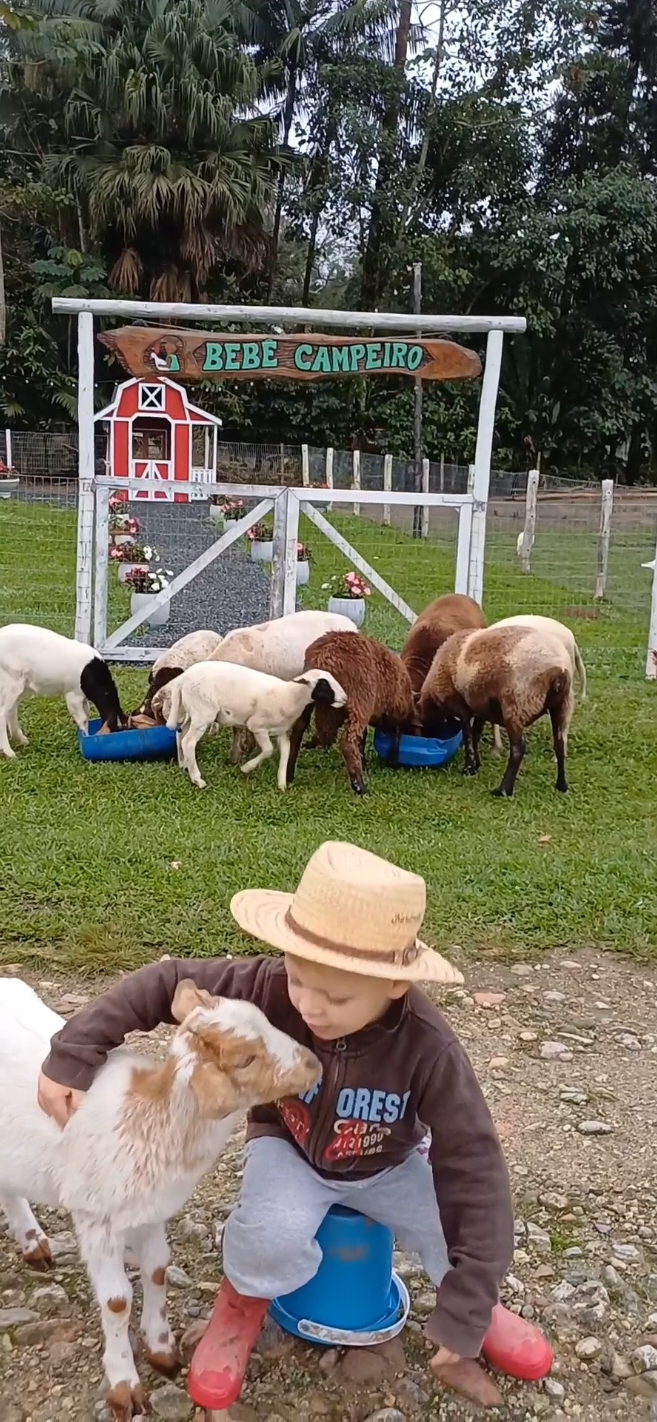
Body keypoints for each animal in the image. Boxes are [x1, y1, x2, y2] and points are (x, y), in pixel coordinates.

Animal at [0, 622, 125, 756]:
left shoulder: (83, 698)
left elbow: (86, 714)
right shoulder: (73, 694)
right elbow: (83, 718)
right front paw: (86, 737)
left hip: (20, 685)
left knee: (11, 710)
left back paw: (21, 740)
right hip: (12, 681)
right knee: (3, 712)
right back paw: (9, 752)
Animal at [0, 978, 318, 1422]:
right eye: (246, 1058)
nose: (313, 1065)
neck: (149, 1119)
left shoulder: (150, 1212)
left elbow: (156, 1271)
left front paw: (162, 1349)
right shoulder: (94, 1215)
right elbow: (117, 1301)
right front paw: (125, 1387)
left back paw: (33, 1244)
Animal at [167, 656, 346, 790]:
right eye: (323, 683)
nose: (345, 698)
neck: (289, 695)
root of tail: (183, 679)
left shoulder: (281, 732)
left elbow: (286, 753)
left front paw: (282, 784)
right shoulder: (257, 726)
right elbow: (268, 750)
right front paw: (246, 768)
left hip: (193, 711)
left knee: (180, 733)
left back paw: (183, 765)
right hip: (203, 713)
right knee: (188, 742)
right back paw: (197, 780)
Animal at [285, 637, 415, 802]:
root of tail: (323, 657)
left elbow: (363, 737)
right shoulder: (394, 709)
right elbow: (396, 734)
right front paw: (392, 758)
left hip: (309, 699)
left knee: (297, 731)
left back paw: (289, 774)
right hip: (361, 699)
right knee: (347, 742)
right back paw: (360, 787)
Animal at [418, 625, 571, 802]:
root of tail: (558, 668)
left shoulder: (461, 707)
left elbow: (468, 735)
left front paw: (469, 768)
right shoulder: (480, 709)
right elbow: (476, 735)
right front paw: (477, 765)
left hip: (517, 703)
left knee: (518, 749)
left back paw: (504, 790)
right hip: (562, 707)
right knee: (560, 745)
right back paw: (561, 785)